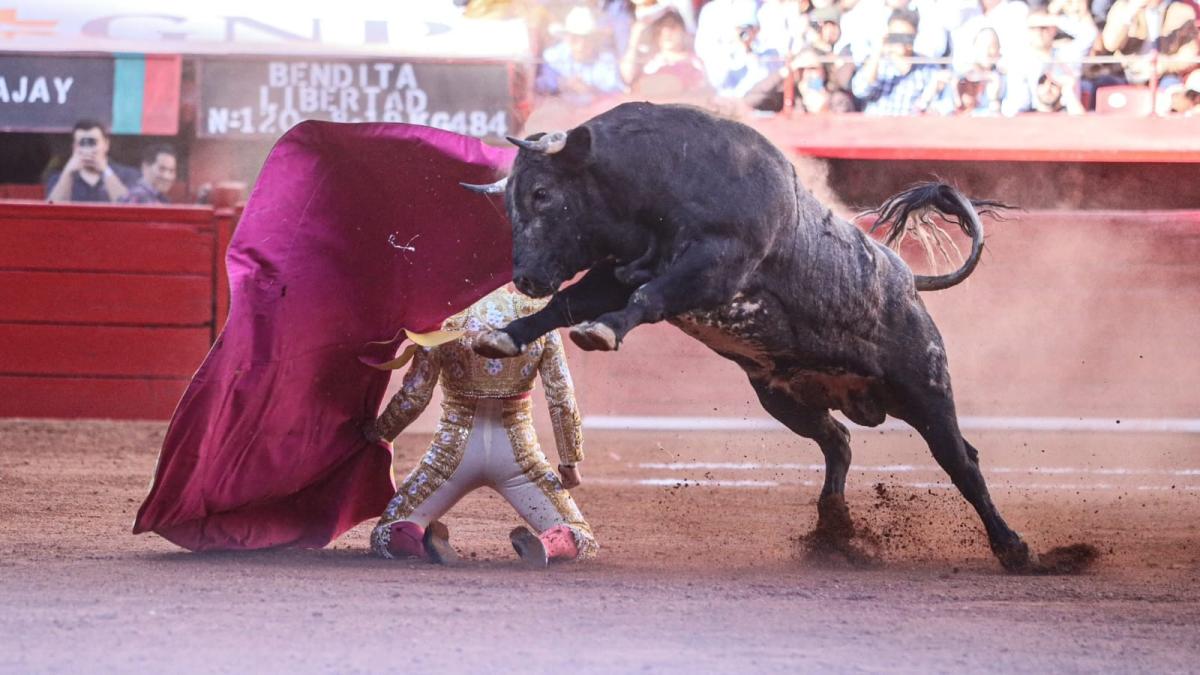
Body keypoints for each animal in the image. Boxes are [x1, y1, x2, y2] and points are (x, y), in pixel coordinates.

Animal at [468, 102, 1041, 569]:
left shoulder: (713, 266)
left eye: (542, 194)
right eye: (510, 204)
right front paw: (503, 338)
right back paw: (831, 530)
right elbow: (566, 304)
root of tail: (907, 281)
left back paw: (1014, 548)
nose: (525, 278)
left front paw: (602, 333)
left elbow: (648, 297)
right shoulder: (612, 273)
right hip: (784, 397)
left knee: (961, 461)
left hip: (925, 389)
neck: (656, 180)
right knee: (839, 441)